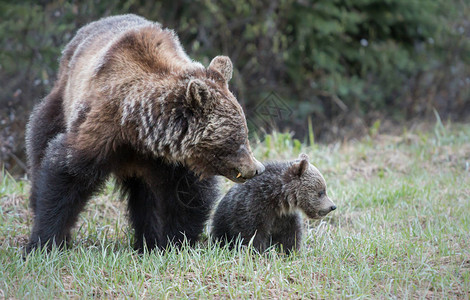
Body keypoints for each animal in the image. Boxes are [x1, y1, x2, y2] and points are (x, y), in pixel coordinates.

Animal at [25, 14, 264, 253]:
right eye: (238, 139)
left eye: (245, 133)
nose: (257, 168)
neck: (140, 133)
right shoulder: (101, 132)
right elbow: (66, 176)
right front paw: (44, 242)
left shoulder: (173, 161)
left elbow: (187, 197)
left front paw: (173, 241)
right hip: (60, 103)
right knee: (41, 144)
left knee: (145, 198)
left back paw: (146, 241)